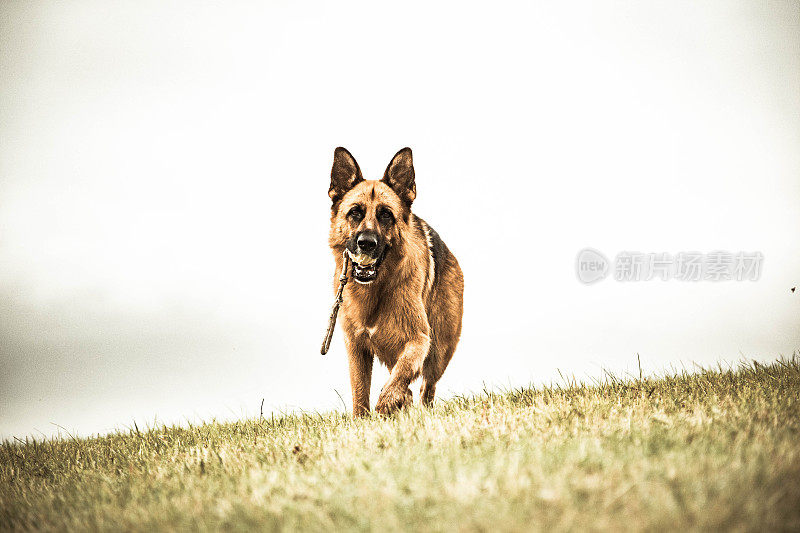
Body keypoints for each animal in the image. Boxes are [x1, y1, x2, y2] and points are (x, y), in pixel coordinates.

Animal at [328, 147, 466, 416]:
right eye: (355, 212)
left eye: (386, 215)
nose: (366, 243)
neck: (375, 290)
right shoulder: (356, 347)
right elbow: (360, 391)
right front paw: (362, 420)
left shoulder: (419, 340)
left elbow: (402, 373)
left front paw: (387, 401)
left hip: (439, 351)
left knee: (426, 387)